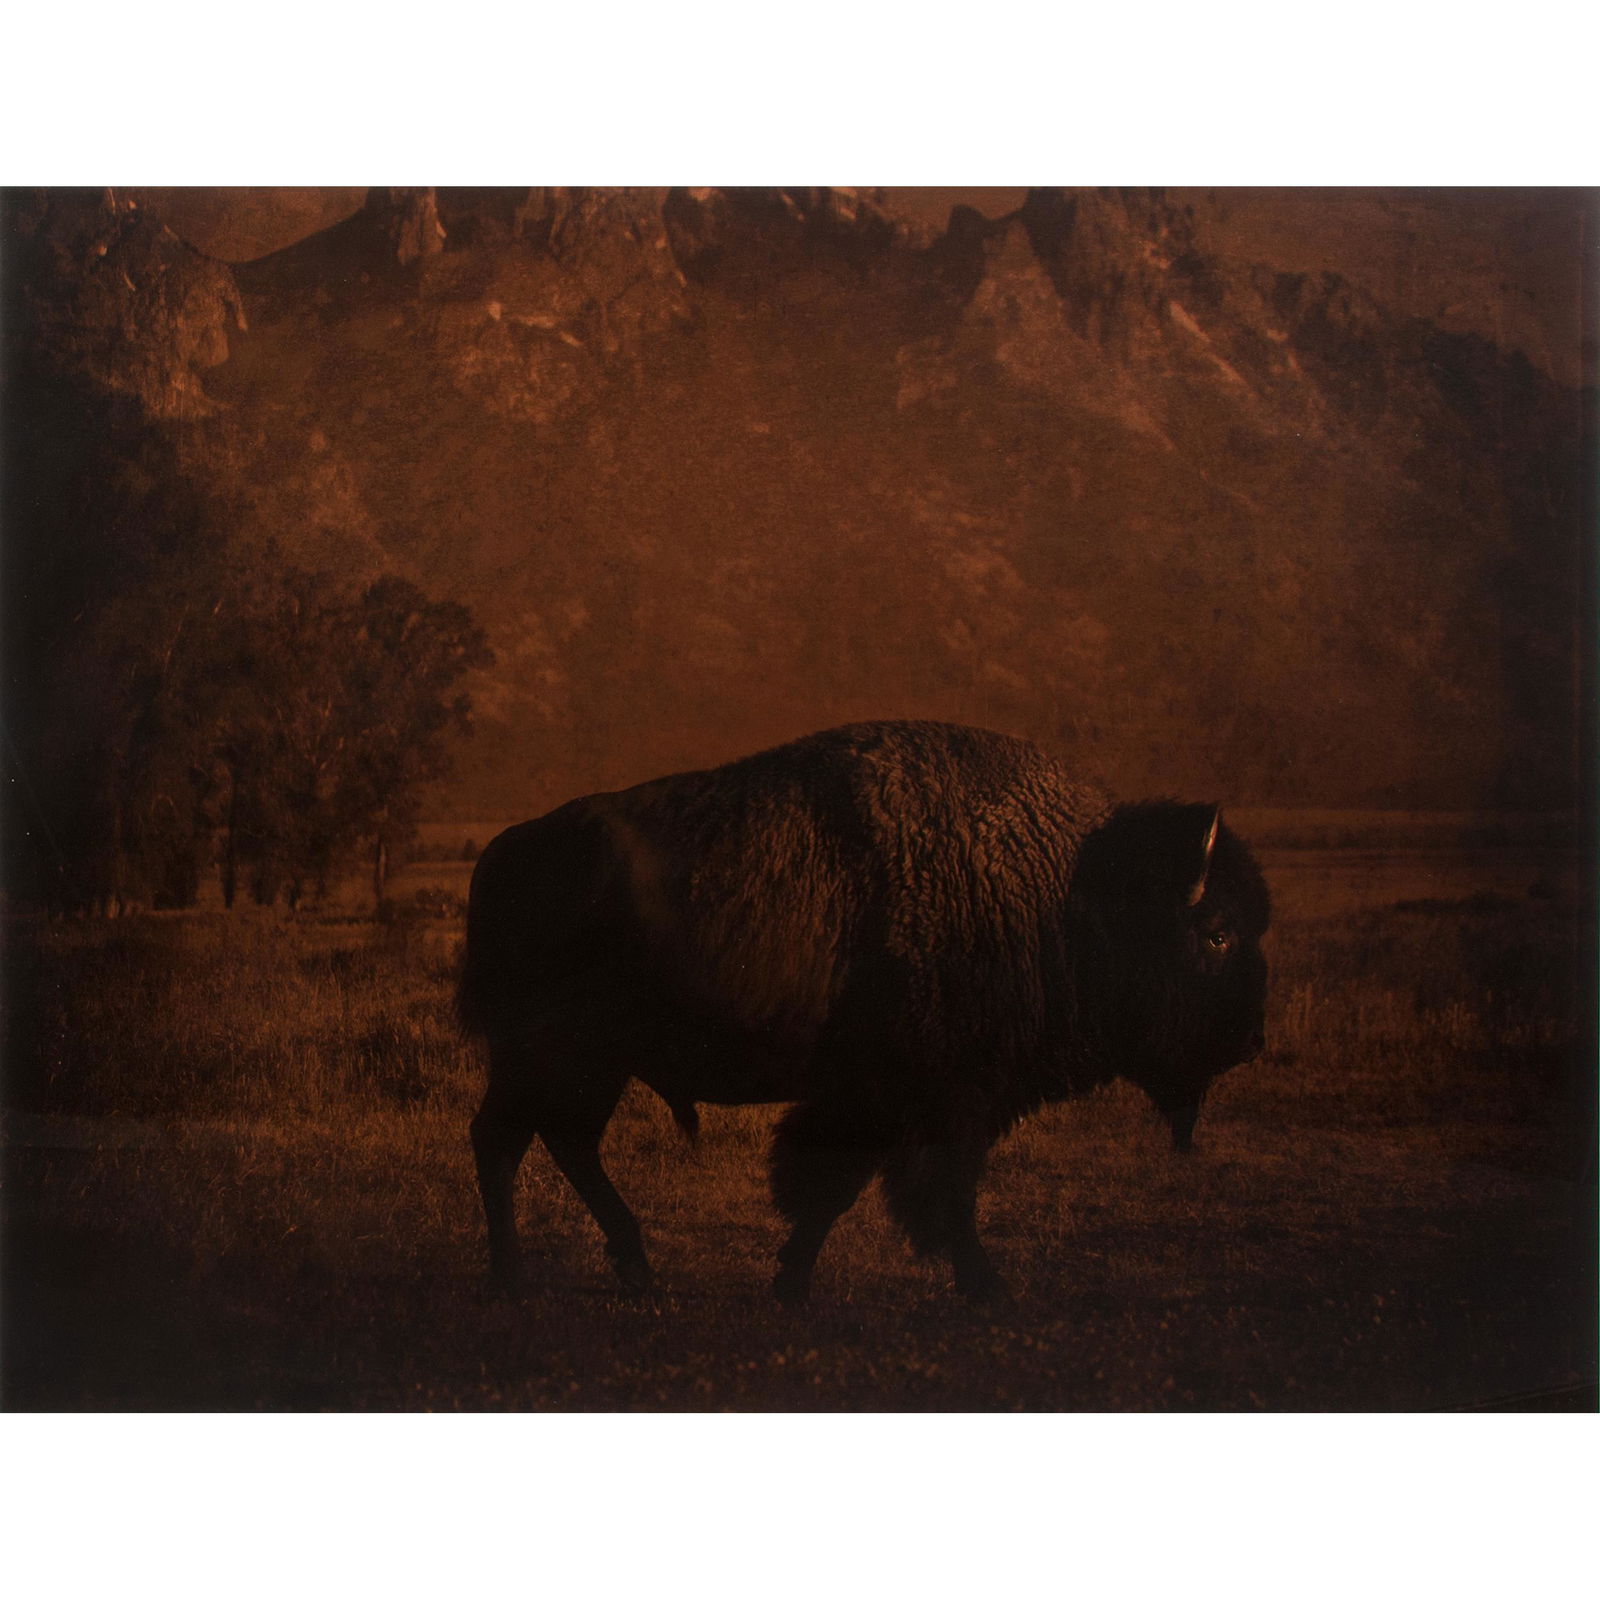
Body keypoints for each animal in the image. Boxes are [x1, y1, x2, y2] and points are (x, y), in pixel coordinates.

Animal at [459, 720, 1270, 1303]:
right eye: (1218, 932)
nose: (1253, 1040)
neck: (1065, 890)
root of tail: (504, 852)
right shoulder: (943, 1099)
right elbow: (938, 1195)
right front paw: (988, 1288)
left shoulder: (876, 1102)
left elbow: (833, 1192)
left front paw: (790, 1280)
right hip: (553, 1056)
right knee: (507, 1141)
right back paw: (514, 1278)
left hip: (588, 1064)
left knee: (556, 1142)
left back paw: (629, 1267)